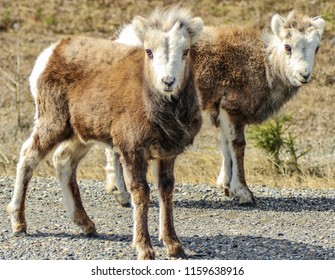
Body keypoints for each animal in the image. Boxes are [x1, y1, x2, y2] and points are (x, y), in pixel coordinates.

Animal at [6, 7, 203, 260]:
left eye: (185, 51)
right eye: (149, 51)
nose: (168, 81)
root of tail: (48, 55)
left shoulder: (167, 154)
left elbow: (166, 191)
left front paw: (174, 246)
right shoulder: (132, 151)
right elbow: (141, 193)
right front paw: (144, 249)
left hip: (80, 133)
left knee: (63, 160)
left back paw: (86, 224)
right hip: (52, 123)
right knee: (28, 156)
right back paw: (19, 223)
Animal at [105, 9, 326, 206]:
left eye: (316, 48)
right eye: (288, 47)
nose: (304, 75)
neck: (265, 66)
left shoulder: (221, 110)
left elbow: (225, 144)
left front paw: (226, 186)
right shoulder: (233, 108)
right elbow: (237, 145)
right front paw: (243, 193)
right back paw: (122, 194)